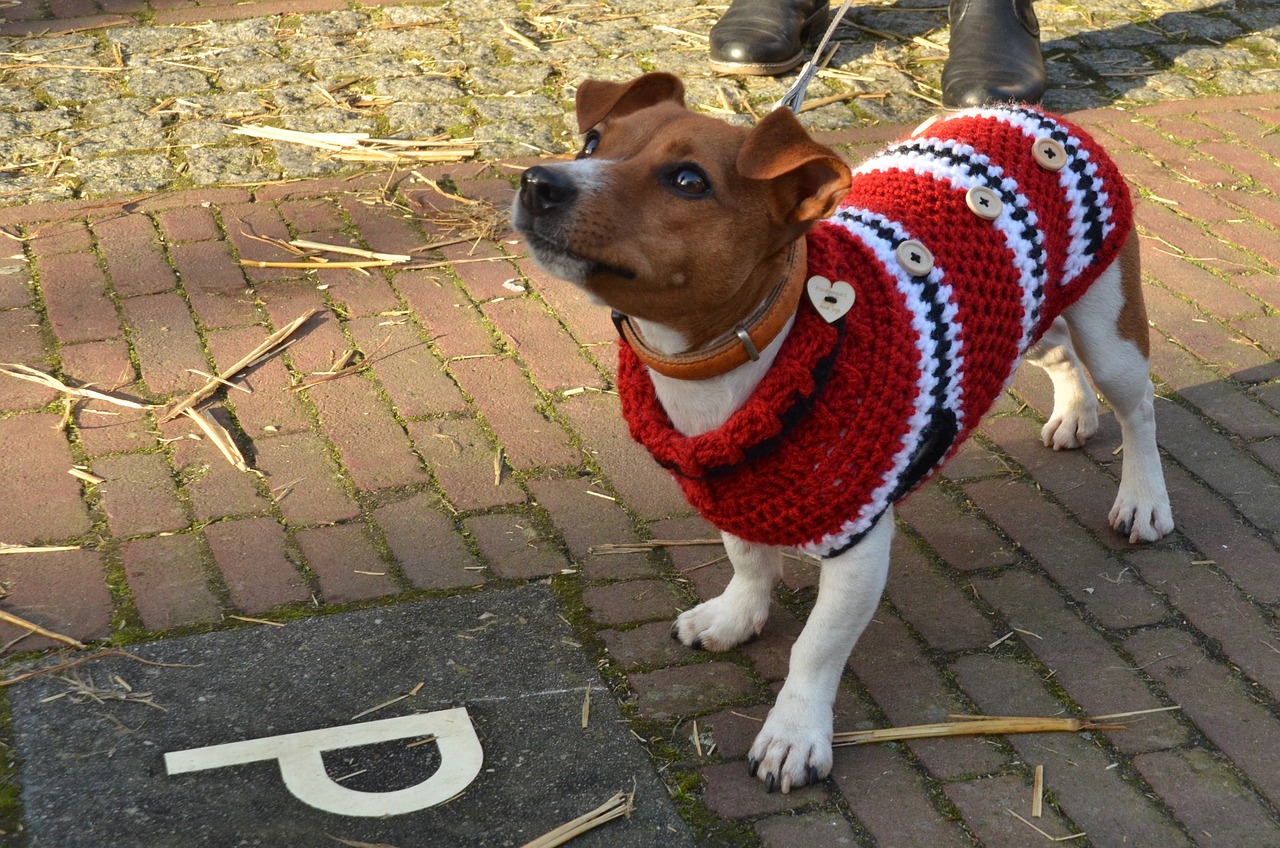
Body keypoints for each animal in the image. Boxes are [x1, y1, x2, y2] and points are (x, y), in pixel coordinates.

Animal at [509, 73, 1172, 799]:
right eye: (592, 141)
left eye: (688, 180)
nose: (540, 181)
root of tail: (1029, 113)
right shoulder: (734, 491)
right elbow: (747, 562)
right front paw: (735, 616)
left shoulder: (859, 542)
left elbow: (816, 646)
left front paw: (795, 733)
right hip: (1027, 317)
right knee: (1060, 356)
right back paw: (1075, 413)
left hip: (1110, 327)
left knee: (1138, 410)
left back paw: (1143, 500)